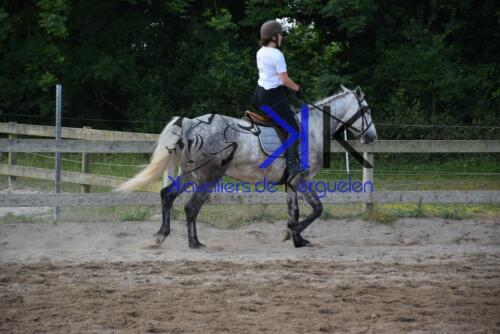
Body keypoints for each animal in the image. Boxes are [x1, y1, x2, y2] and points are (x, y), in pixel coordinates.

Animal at [117, 85, 376, 248]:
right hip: (208, 177)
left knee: (167, 196)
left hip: (190, 175)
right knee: (191, 207)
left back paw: (160, 236)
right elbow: (317, 209)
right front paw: (291, 233)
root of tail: (190, 123)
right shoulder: (302, 179)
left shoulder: (291, 183)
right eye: (367, 110)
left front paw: (296, 238)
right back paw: (195, 243)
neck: (311, 128)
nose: (372, 137)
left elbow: (294, 211)